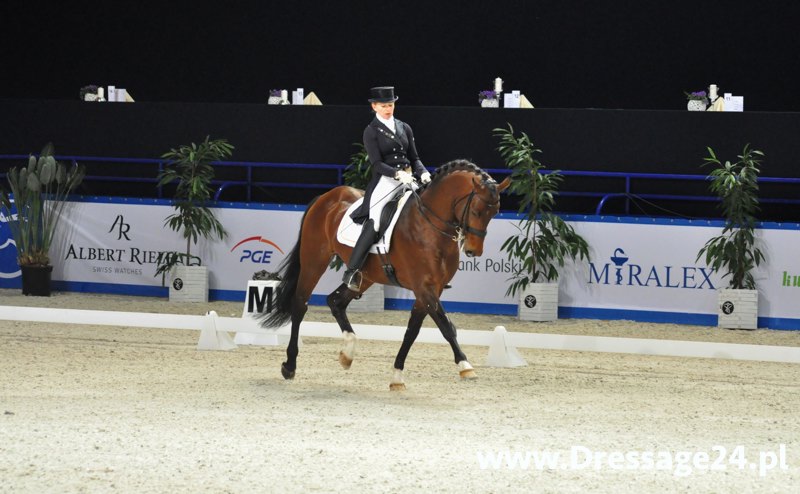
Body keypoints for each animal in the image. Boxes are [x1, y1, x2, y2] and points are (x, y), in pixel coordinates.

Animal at [260, 159, 511, 390]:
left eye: (495, 212)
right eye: (477, 211)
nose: (473, 251)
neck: (429, 226)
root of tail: (325, 197)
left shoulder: (430, 290)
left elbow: (412, 331)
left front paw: (397, 376)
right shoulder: (424, 288)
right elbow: (446, 326)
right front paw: (465, 366)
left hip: (366, 276)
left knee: (335, 301)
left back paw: (347, 353)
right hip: (314, 260)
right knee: (300, 304)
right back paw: (289, 366)